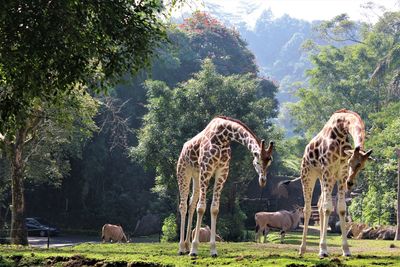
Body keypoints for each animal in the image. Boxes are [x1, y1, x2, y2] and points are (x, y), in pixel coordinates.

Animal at [177, 116, 274, 258]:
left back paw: (186, 246)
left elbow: (214, 209)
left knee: (191, 204)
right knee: (183, 206)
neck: (222, 138)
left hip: (196, 175)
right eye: (257, 161)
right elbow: (201, 208)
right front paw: (195, 249)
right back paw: (181, 248)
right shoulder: (206, 169)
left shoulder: (222, 172)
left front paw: (213, 250)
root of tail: (183, 148)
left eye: (269, 163)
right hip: (184, 172)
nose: (262, 181)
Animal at [282, 110, 372, 258]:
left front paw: (346, 250)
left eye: (362, 167)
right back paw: (303, 249)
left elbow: (341, 208)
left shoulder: (340, 174)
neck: (342, 128)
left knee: (319, 205)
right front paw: (323, 249)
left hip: (324, 177)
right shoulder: (328, 169)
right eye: (350, 162)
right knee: (308, 209)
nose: (350, 183)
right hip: (309, 175)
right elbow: (328, 208)